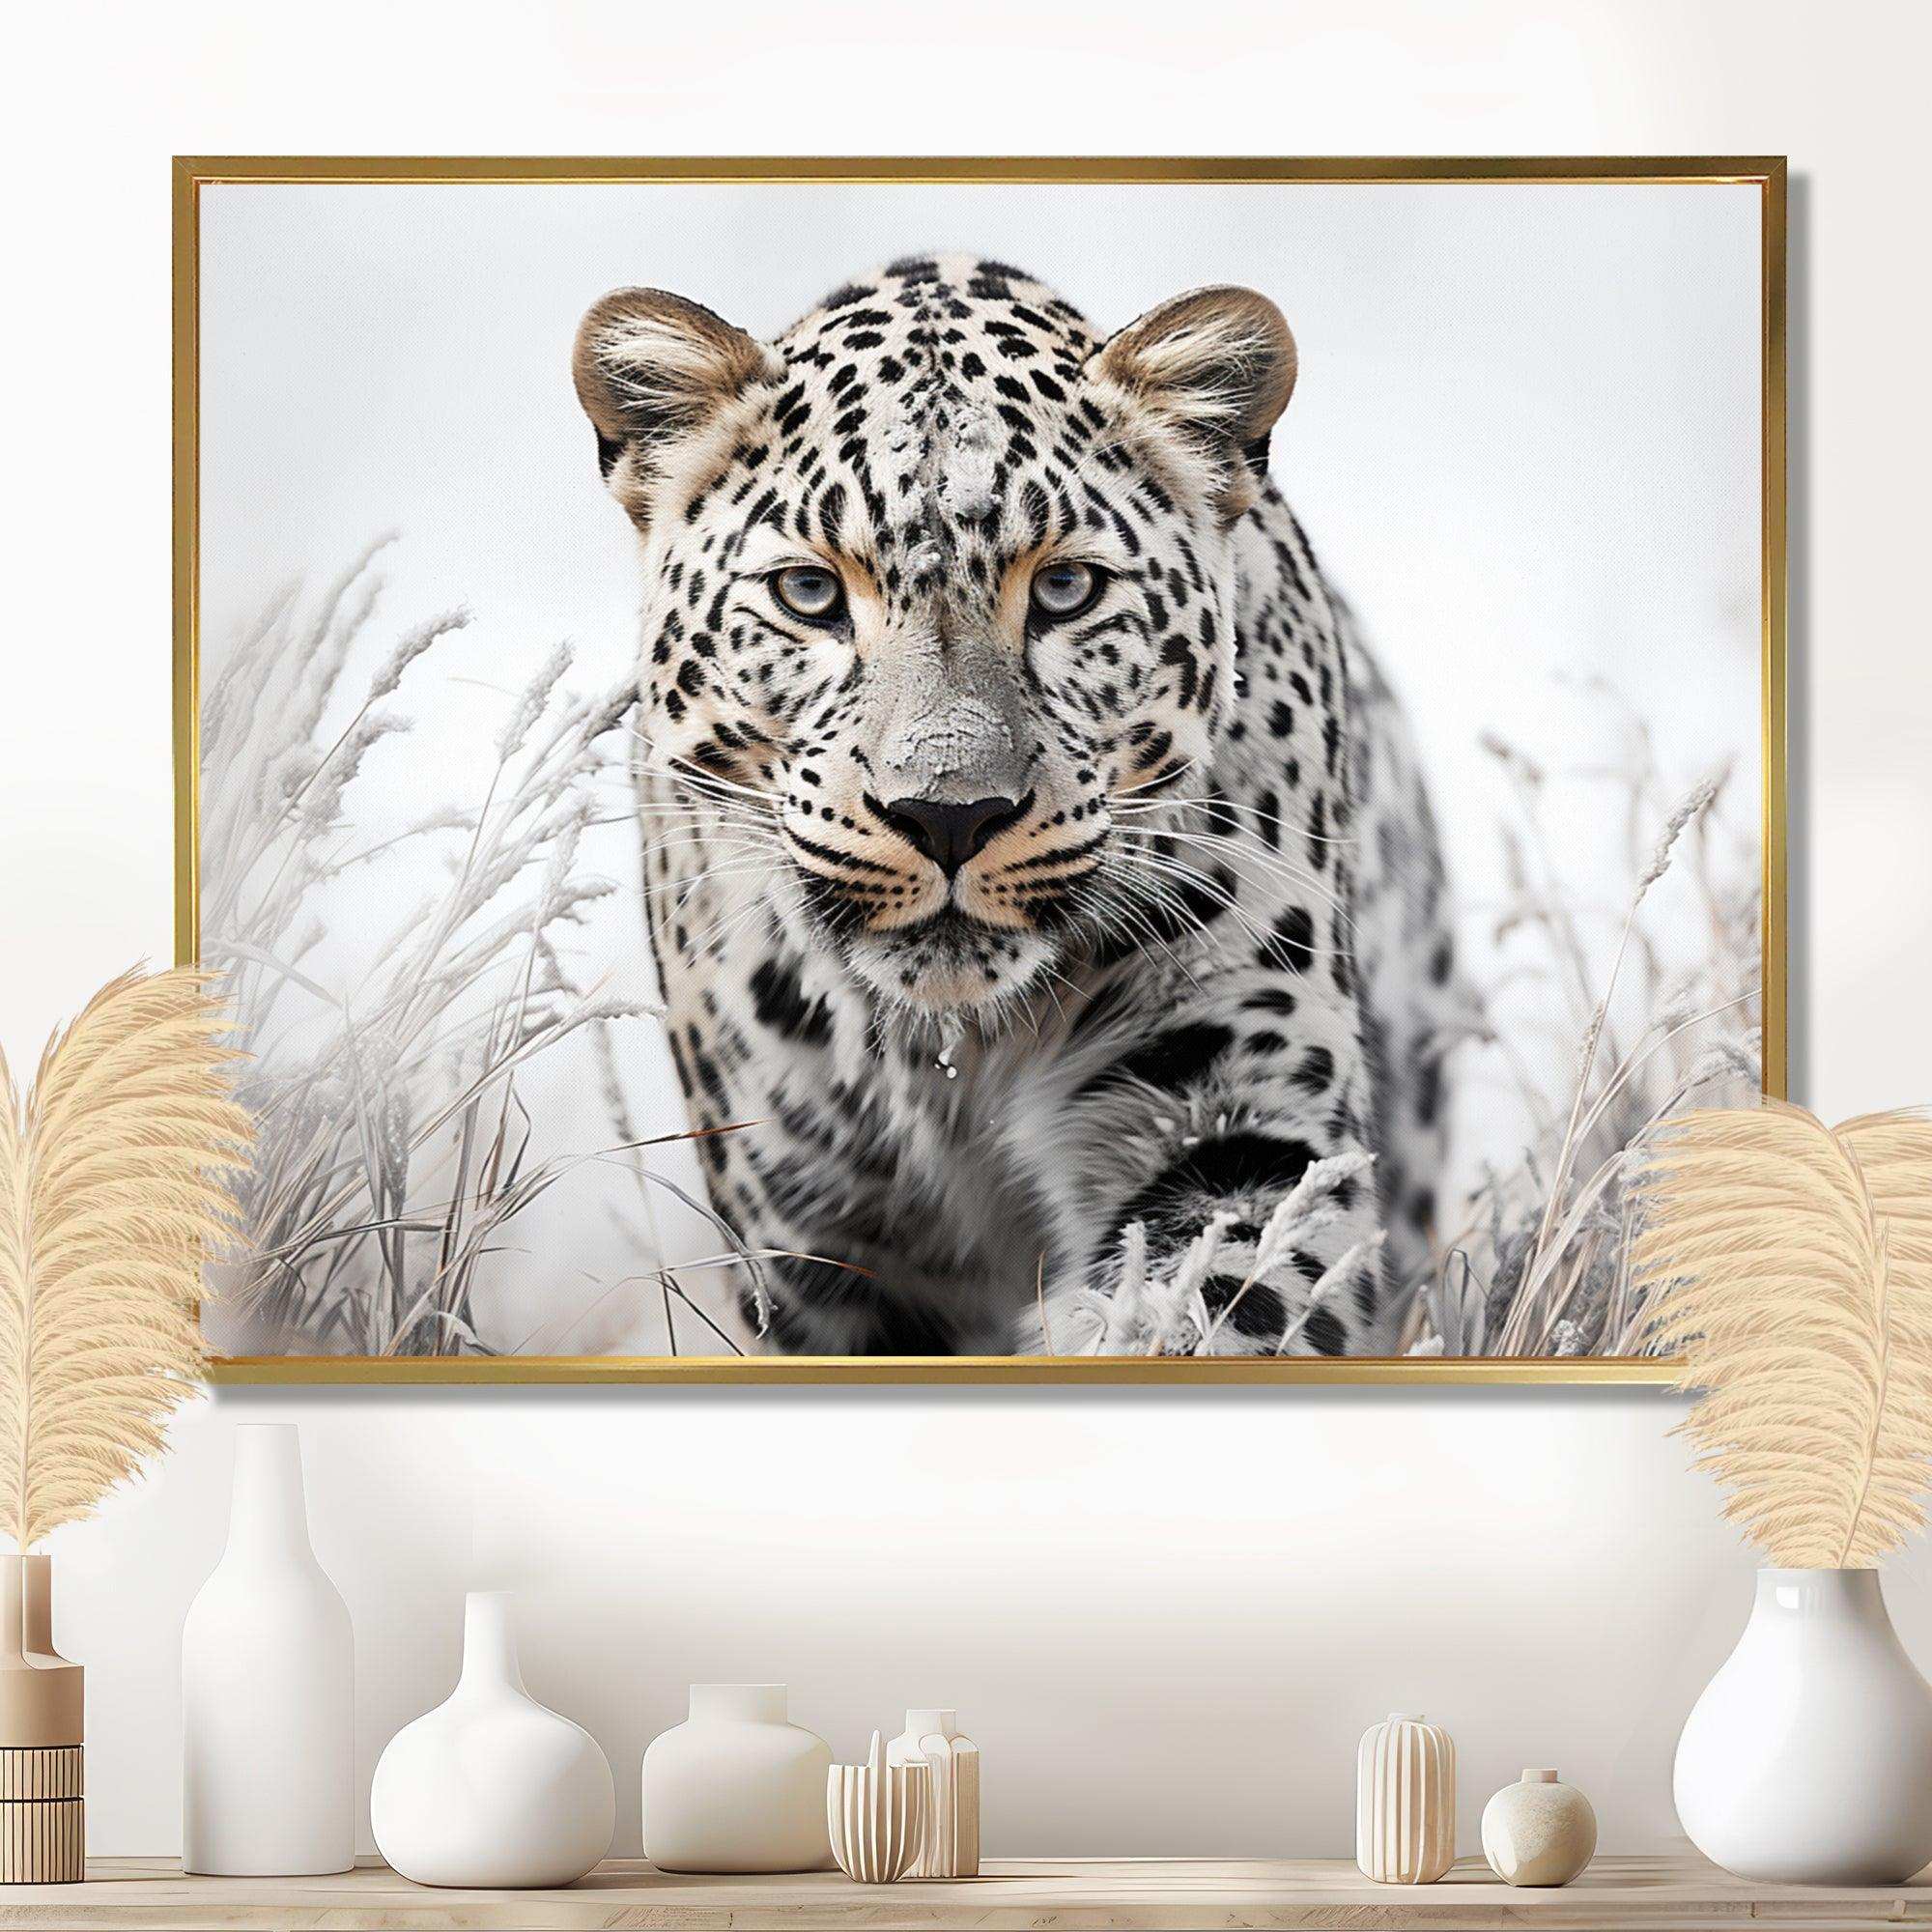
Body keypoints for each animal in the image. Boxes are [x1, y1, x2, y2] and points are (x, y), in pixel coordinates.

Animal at [572, 253, 1463, 1357]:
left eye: (1067, 589)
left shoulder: (1245, 1117)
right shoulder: (810, 1229)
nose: (947, 815)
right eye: (808, 596)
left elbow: (1201, 1305)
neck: (950, 1060)